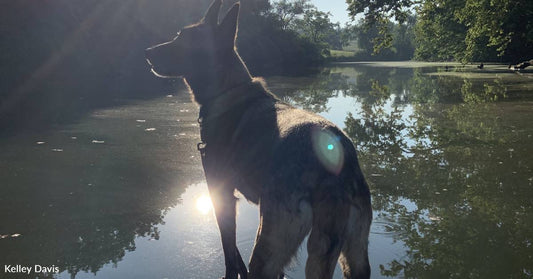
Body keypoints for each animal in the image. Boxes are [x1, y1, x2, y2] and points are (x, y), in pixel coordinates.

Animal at [143, 1, 372, 278]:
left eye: (182, 38)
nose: (147, 52)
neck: (228, 91)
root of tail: (335, 171)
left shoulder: (221, 194)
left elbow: (229, 251)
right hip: (355, 255)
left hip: (268, 246)